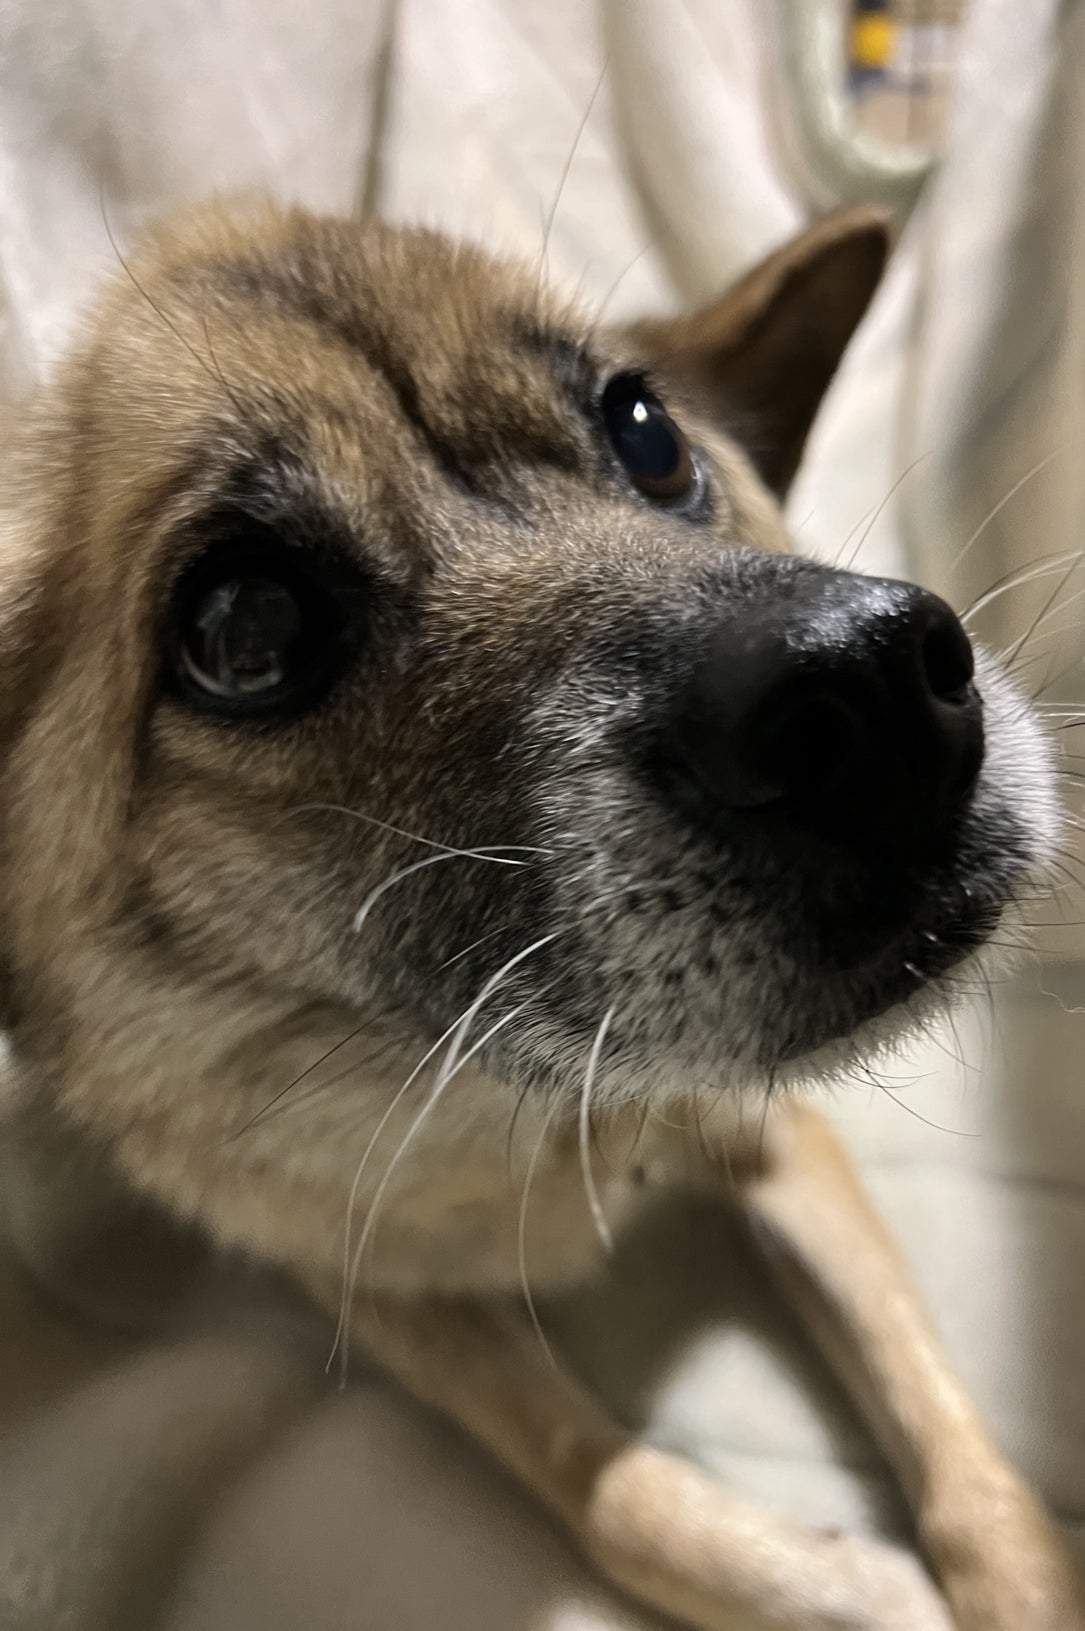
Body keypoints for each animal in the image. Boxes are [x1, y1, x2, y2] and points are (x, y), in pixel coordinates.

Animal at [0, 198, 1081, 1631]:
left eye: (646, 431)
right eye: (243, 627)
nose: (875, 691)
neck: (542, 1117)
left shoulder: (777, 1138)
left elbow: (966, 1458)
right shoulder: (377, 1292)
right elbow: (612, 1493)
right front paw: (837, 1588)